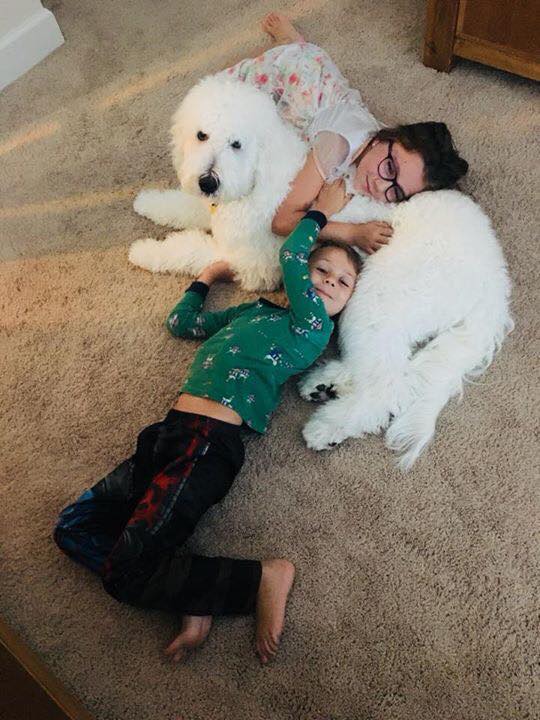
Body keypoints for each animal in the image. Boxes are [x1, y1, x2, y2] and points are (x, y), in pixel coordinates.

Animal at [129, 74, 512, 466]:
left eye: (237, 144)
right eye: (201, 135)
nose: (209, 182)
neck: (261, 175)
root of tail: (495, 281)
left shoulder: (249, 260)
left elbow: (191, 248)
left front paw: (144, 251)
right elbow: (183, 206)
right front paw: (148, 202)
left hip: (376, 301)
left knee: (387, 386)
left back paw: (327, 428)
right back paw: (325, 384)